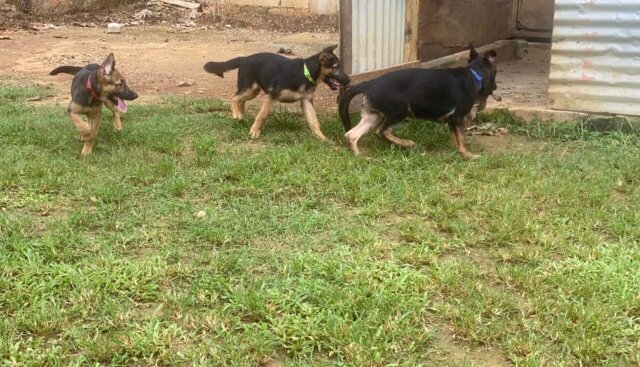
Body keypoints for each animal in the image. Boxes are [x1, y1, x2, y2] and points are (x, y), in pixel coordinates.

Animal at [204, 44, 350, 139]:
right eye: (335, 67)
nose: (348, 80)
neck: (305, 72)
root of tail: (244, 58)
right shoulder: (272, 96)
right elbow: (262, 115)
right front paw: (255, 131)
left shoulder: (306, 101)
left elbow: (314, 121)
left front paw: (322, 138)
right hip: (249, 88)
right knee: (234, 98)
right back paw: (237, 114)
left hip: (253, 91)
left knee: (240, 100)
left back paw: (241, 115)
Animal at [338, 44, 498, 158]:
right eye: (495, 73)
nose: (496, 87)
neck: (475, 74)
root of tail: (369, 84)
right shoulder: (457, 117)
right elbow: (461, 138)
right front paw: (469, 155)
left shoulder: (453, 121)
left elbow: (456, 136)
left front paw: (457, 149)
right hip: (399, 110)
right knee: (381, 131)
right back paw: (407, 143)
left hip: (372, 115)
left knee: (351, 135)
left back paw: (360, 156)